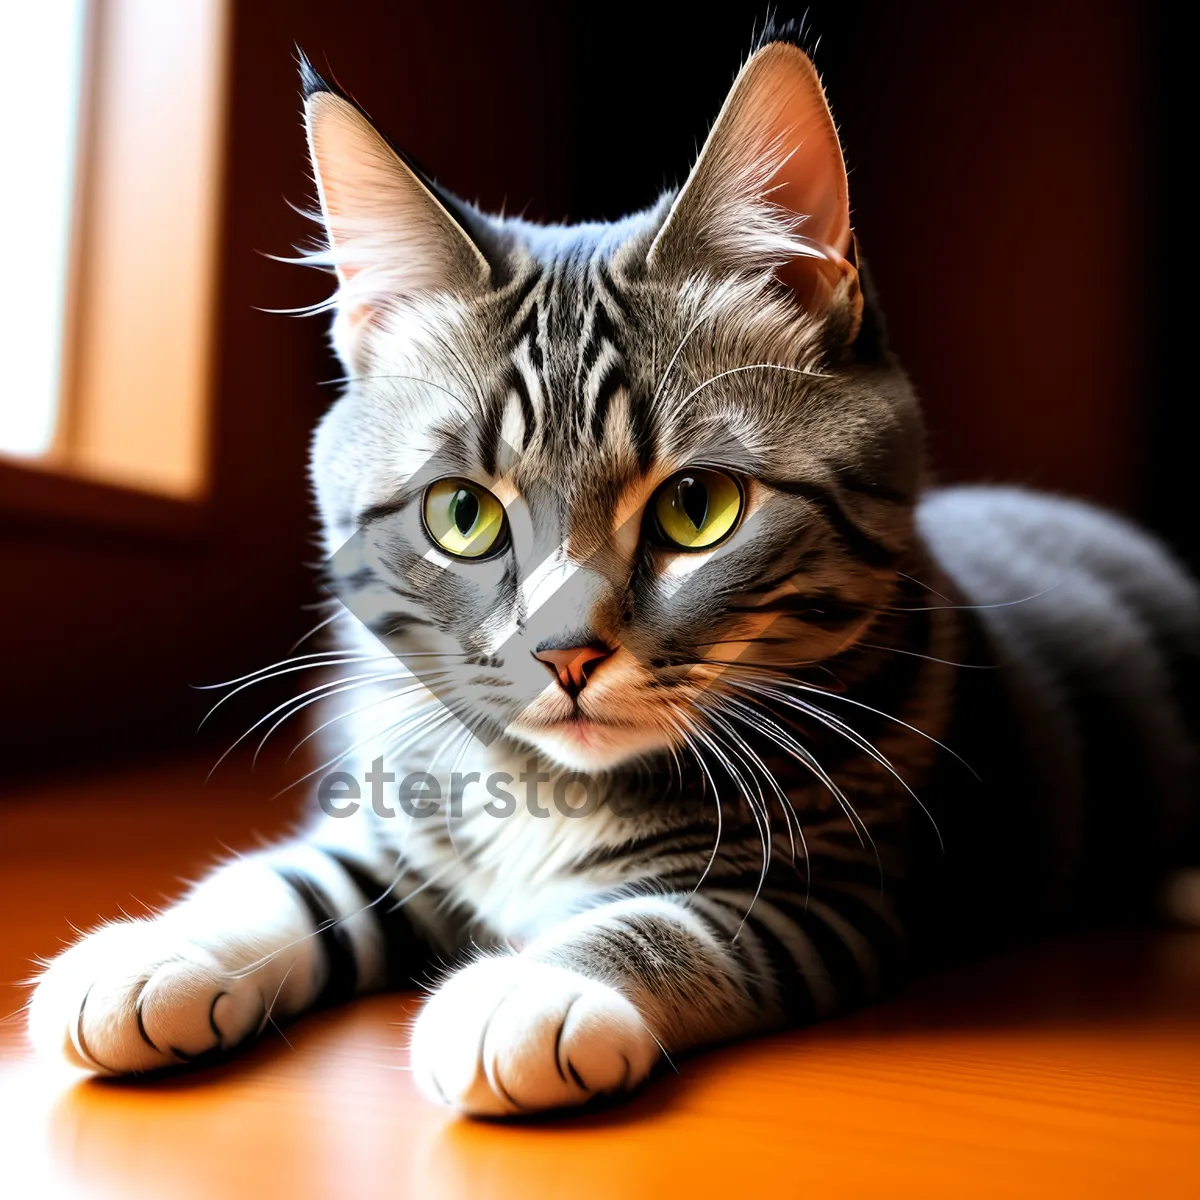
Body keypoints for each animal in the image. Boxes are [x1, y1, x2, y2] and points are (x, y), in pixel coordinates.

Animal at [28, 35, 1200, 1113]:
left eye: (698, 508)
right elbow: (291, 878)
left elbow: (669, 922)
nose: (566, 655)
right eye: (463, 515)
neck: (547, 789)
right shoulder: (400, 825)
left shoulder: (836, 887)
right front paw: (156, 949)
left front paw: (528, 987)